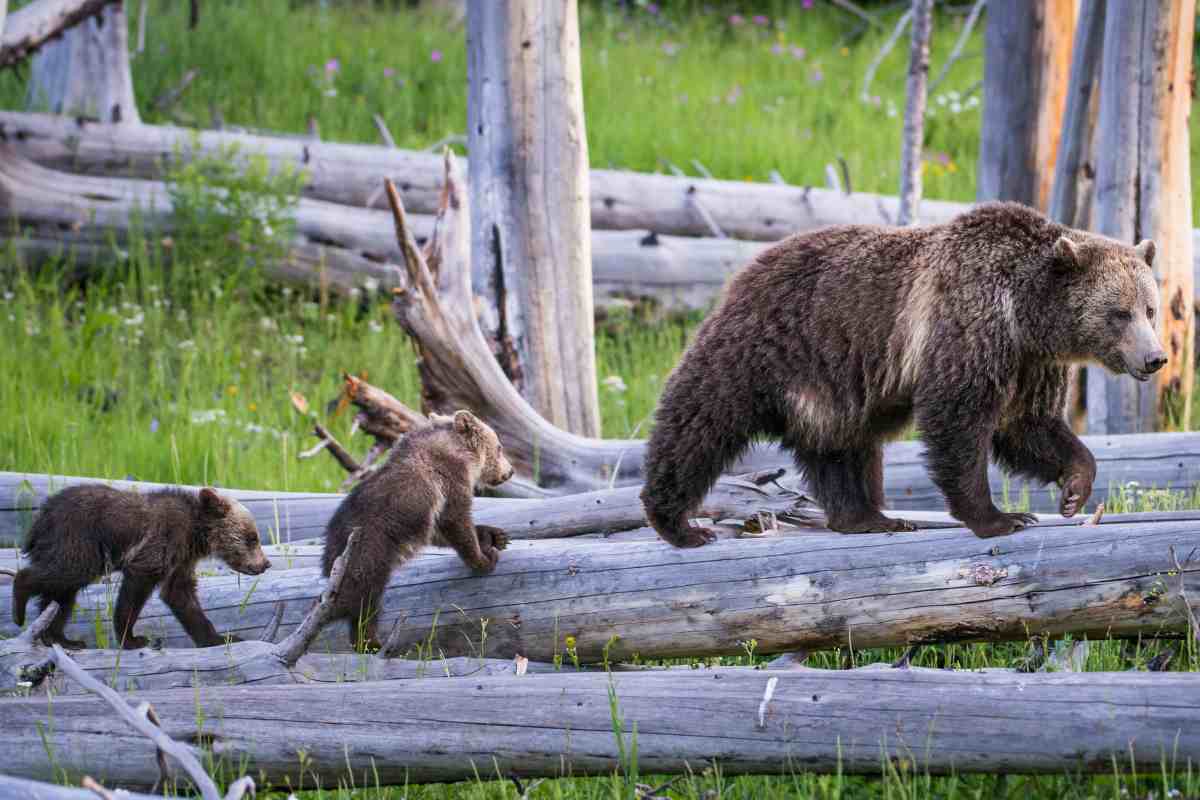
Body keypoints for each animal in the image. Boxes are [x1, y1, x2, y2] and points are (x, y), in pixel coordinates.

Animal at [13, 484, 272, 647]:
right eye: (252, 537)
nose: (265, 563)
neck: (196, 534)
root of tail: (41, 517)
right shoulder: (161, 544)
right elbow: (134, 593)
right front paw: (132, 639)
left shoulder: (181, 559)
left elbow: (181, 596)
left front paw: (218, 638)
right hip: (78, 540)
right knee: (63, 574)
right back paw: (20, 607)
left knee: (61, 597)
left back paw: (61, 638)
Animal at [321, 410, 513, 652]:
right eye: (500, 447)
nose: (510, 471)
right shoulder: (449, 481)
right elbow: (455, 521)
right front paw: (483, 560)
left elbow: (440, 531)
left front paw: (495, 536)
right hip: (367, 557)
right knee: (367, 606)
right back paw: (374, 642)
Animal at [643, 203, 1166, 546]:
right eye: (1119, 313)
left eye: (1149, 309)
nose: (1154, 358)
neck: (1024, 315)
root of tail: (748, 265)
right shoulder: (967, 329)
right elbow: (958, 420)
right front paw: (1000, 517)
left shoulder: (1030, 363)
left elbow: (1028, 425)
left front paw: (1074, 488)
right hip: (765, 345)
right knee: (701, 421)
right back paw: (679, 522)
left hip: (834, 384)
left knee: (843, 448)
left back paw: (868, 516)